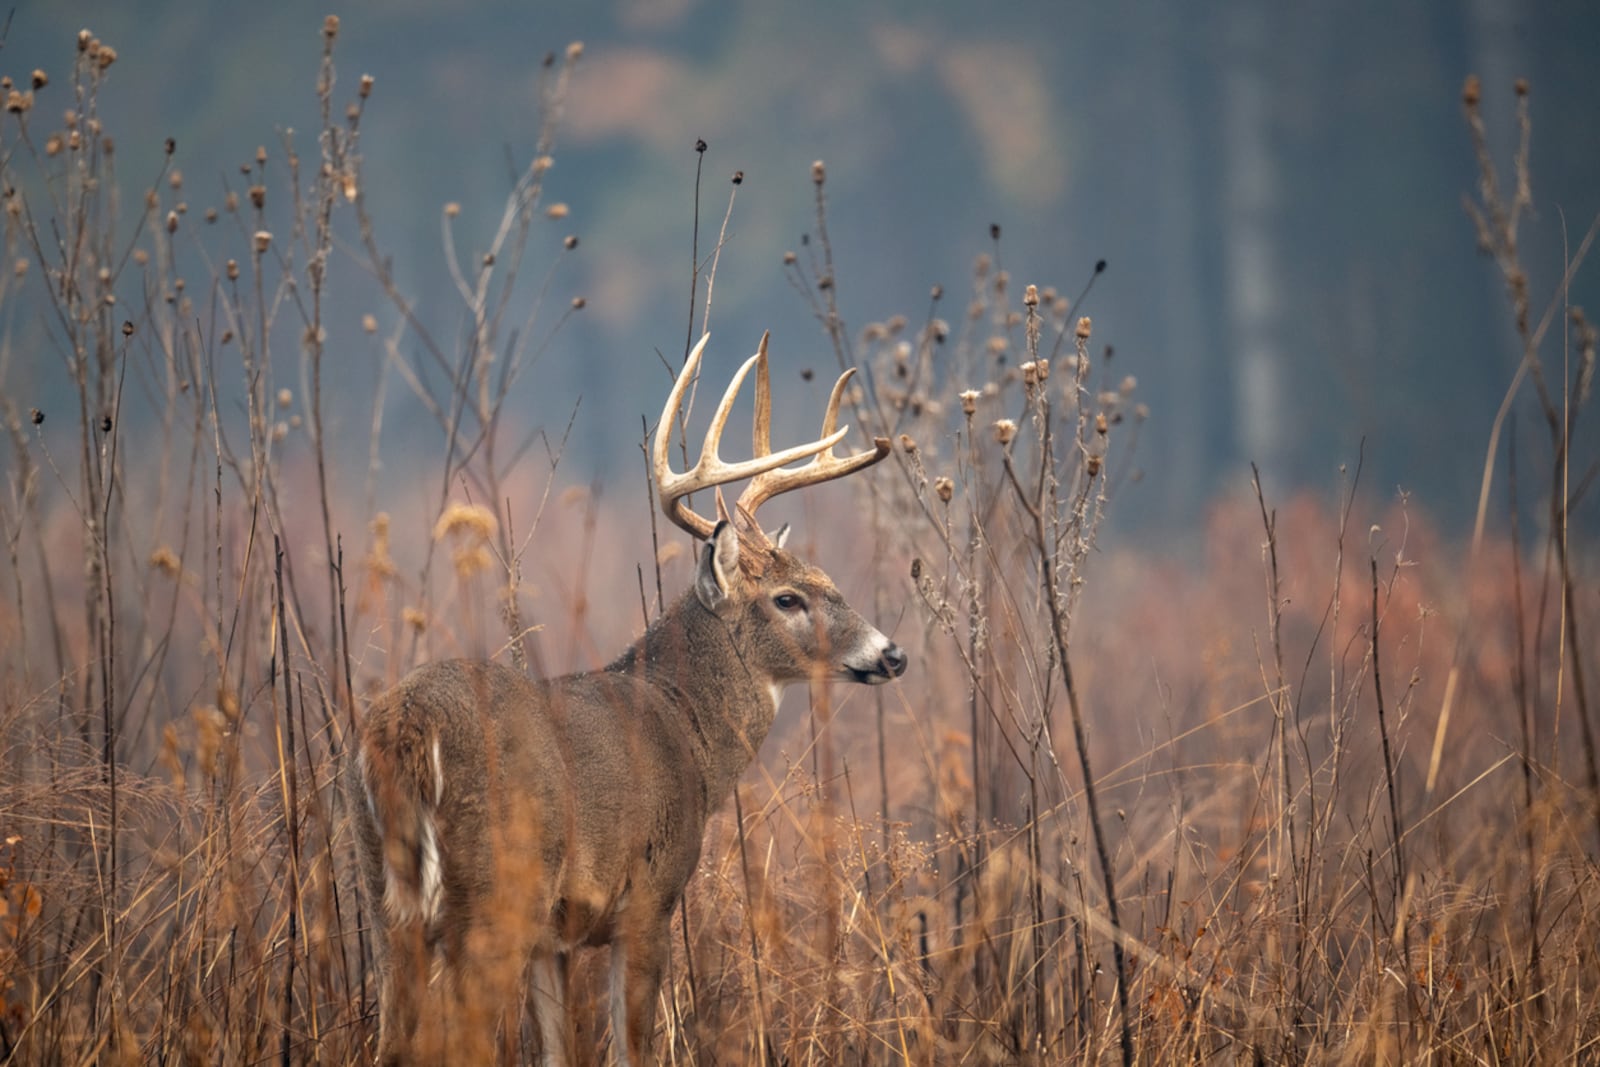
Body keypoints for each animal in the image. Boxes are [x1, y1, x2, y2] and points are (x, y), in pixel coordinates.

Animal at [361, 329, 908, 1062]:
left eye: (828, 579)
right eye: (788, 599)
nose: (890, 653)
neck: (685, 726)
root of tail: (408, 726)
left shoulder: (555, 938)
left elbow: (561, 1051)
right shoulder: (651, 894)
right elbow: (632, 1047)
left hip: (387, 899)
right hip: (493, 893)